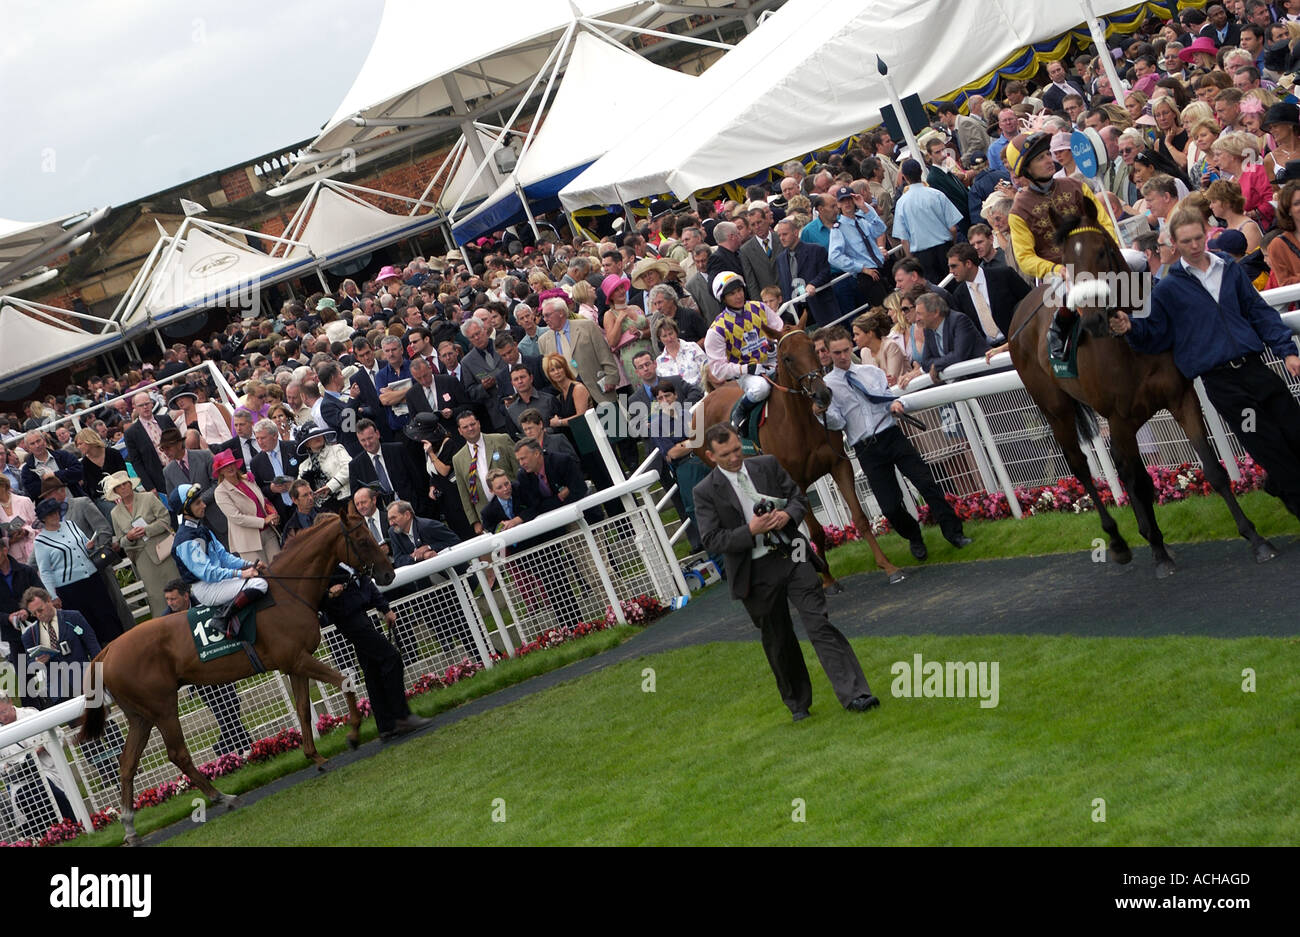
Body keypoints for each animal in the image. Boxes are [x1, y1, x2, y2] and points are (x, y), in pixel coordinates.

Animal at [74, 506, 390, 842]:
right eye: (362, 540)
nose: (388, 574)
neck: (287, 593)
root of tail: (107, 651)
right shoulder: (298, 659)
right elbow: (346, 681)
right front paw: (353, 735)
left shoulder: (294, 664)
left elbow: (304, 709)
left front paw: (314, 756)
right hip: (162, 707)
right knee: (177, 753)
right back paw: (222, 797)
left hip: (140, 716)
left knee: (127, 764)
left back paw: (131, 827)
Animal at [691, 324, 904, 582]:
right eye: (787, 358)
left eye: (814, 347)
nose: (822, 394)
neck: (802, 424)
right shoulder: (794, 483)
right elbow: (816, 531)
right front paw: (826, 578)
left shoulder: (839, 466)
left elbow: (860, 517)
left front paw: (887, 565)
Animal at [1008, 198, 1274, 577]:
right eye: (1066, 261)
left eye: (1102, 251)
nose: (1093, 319)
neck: (1133, 343)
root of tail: (1021, 311)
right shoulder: (1119, 418)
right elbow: (1136, 480)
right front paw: (1159, 551)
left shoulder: (1180, 398)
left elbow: (1213, 469)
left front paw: (1255, 538)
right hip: (1056, 410)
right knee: (1081, 466)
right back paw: (1118, 540)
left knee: (1122, 465)